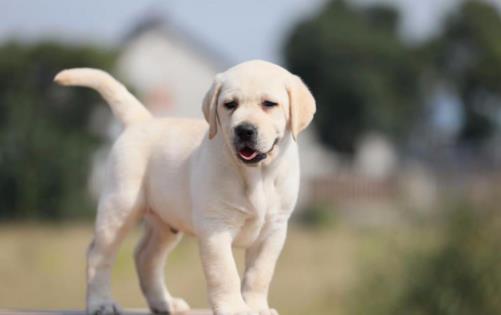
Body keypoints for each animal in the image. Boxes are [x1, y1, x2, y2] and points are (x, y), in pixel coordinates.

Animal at [53, 59, 312, 315]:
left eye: (269, 104)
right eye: (230, 104)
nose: (244, 130)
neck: (257, 174)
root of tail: (142, 120)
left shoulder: (274, 229)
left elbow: (259, 274)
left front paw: (257, 307)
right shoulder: (215, 227)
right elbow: (224, 272)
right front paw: (234, 308)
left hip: (165, 223)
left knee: (146, 257)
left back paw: (164, 303)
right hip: (119, 207)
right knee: (98, 255)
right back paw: (102, 303)